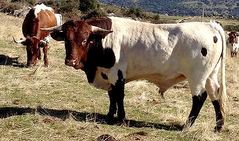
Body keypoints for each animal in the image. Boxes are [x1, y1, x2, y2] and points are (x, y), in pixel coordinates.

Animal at [42, 17, 227, 132]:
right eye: (66, 39)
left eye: (85, 38)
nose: (71, 60)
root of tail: (210, 25)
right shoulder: (108, 75)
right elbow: (112, 96)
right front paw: (110, 116)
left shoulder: (117, 74)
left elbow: (119, 96)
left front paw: (121, 119)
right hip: (210, 75)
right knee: (215, 95)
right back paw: (218, 126)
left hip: (197, 76)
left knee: (199, 98)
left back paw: (187, 125)